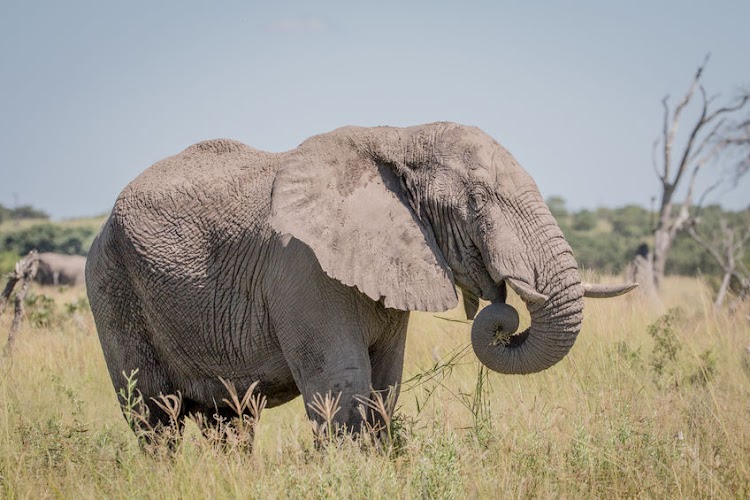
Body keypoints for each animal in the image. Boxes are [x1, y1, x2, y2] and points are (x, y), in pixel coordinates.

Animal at [85, 122, 636, 446]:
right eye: (478, 201)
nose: (502, 318)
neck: (399, 138)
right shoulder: (303, 270)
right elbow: (344, 394)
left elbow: (383, 392)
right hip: (111, 286)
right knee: (154, 418)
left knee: (229, 423)